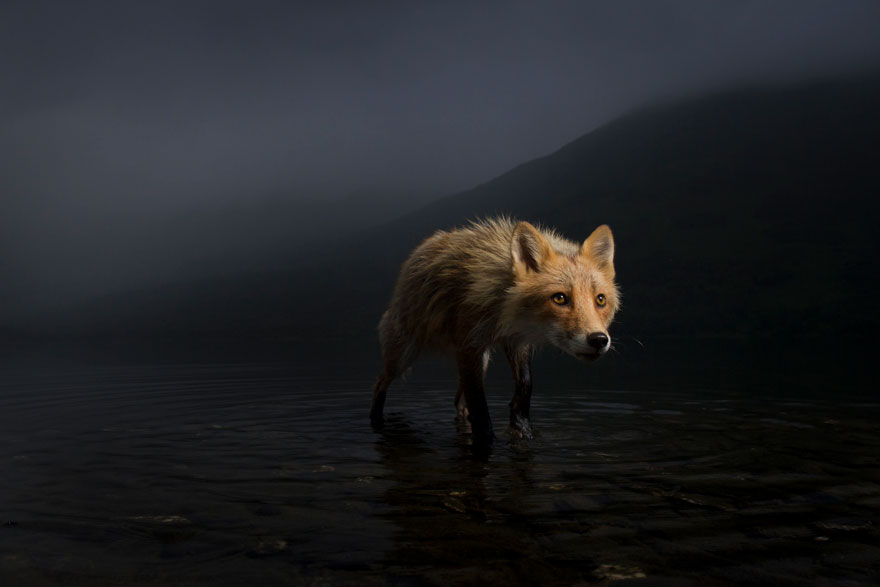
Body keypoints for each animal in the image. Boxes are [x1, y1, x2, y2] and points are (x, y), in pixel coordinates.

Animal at [369, 217, 619, 444]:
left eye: (600, 300)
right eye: (559, 298)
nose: (599, 340)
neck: (504, 310)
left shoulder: (515, 341)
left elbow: (525, 385)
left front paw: (521, 427)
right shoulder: (470, 343)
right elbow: (480, 405)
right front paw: (487, 439)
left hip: (482, 361)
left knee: (459, 401)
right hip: (404, 355)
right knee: (380, 382)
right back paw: (375, 421)